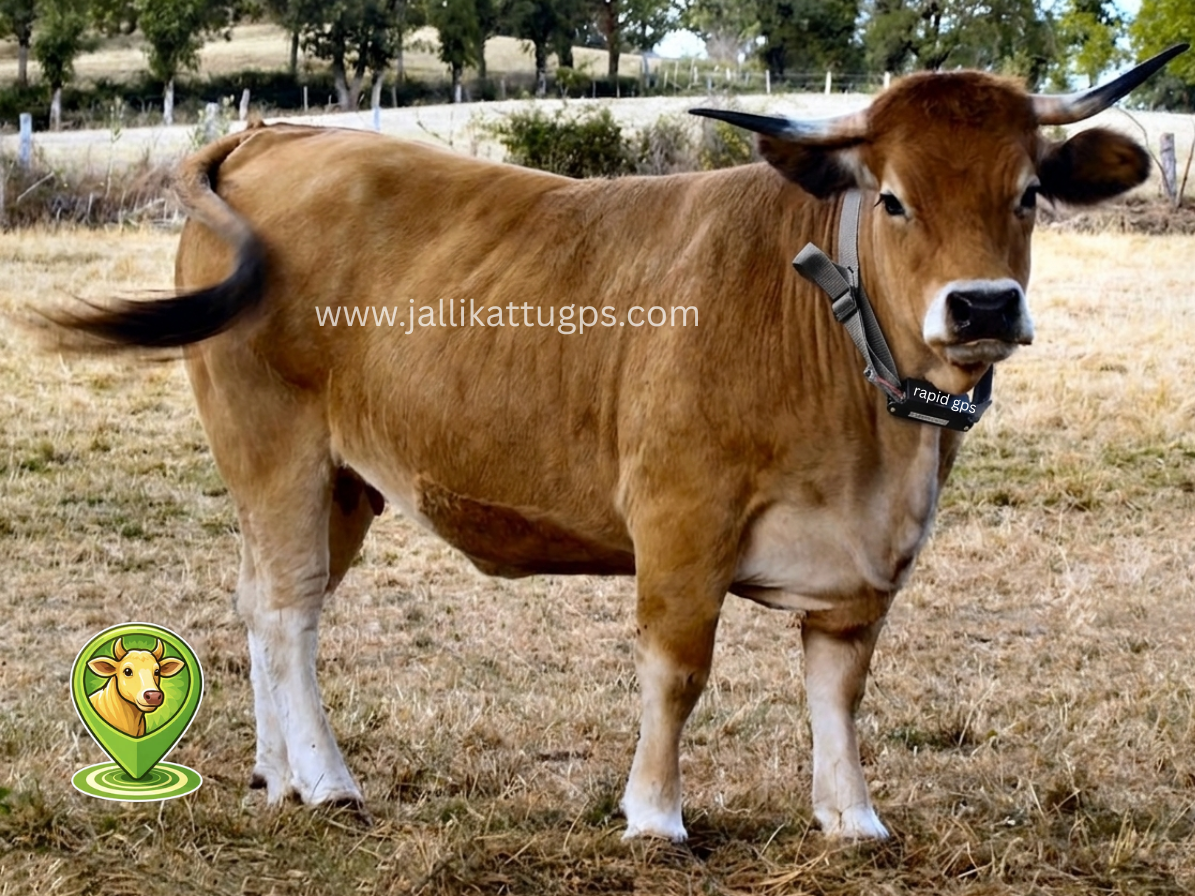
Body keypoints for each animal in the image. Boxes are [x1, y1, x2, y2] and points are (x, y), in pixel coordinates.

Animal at [51, 45, 1185, 841]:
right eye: (895, 198)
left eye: (1026, 194)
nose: (983, 304)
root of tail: (280, 133)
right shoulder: (681, 522)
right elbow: (676, 671)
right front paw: (653, 814)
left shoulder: (864, 568)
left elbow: (839, 689)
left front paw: (851, 817)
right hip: (273, 447)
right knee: (287, 608)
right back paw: (327, 782)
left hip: (338, 481)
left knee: (262, 600)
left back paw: (278, 773)